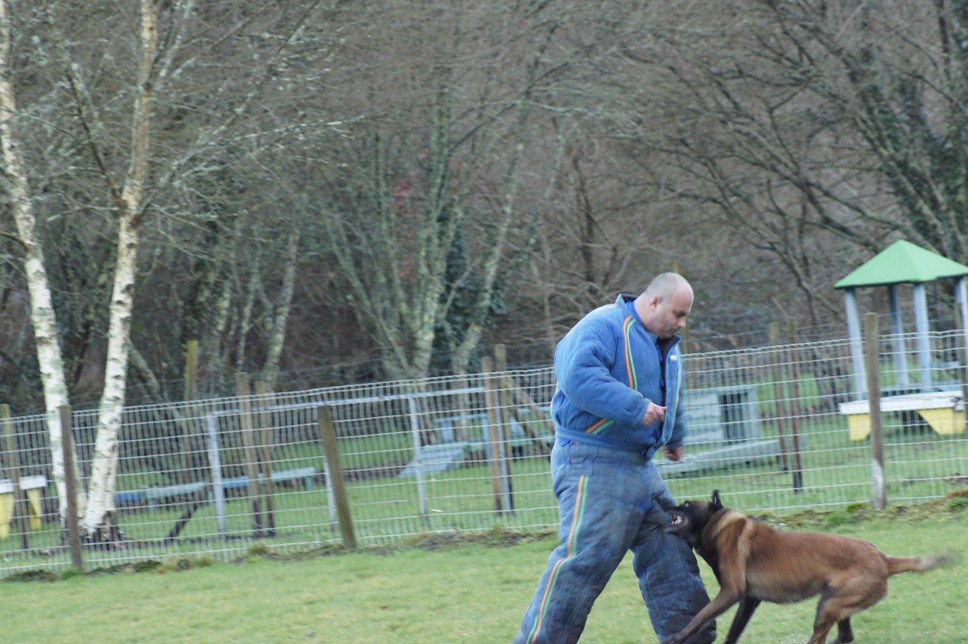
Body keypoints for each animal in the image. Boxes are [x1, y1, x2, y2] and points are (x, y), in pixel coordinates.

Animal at [664, 490, 952, 640]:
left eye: (686, 504)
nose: (662, 503)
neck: (717, 525)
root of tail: (884, 558)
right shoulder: (748, 601)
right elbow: (732, 633)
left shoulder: (730, 593)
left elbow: (699, 618)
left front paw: (677, 638)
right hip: (837, 605)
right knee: (845, 636)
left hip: (827, 606)